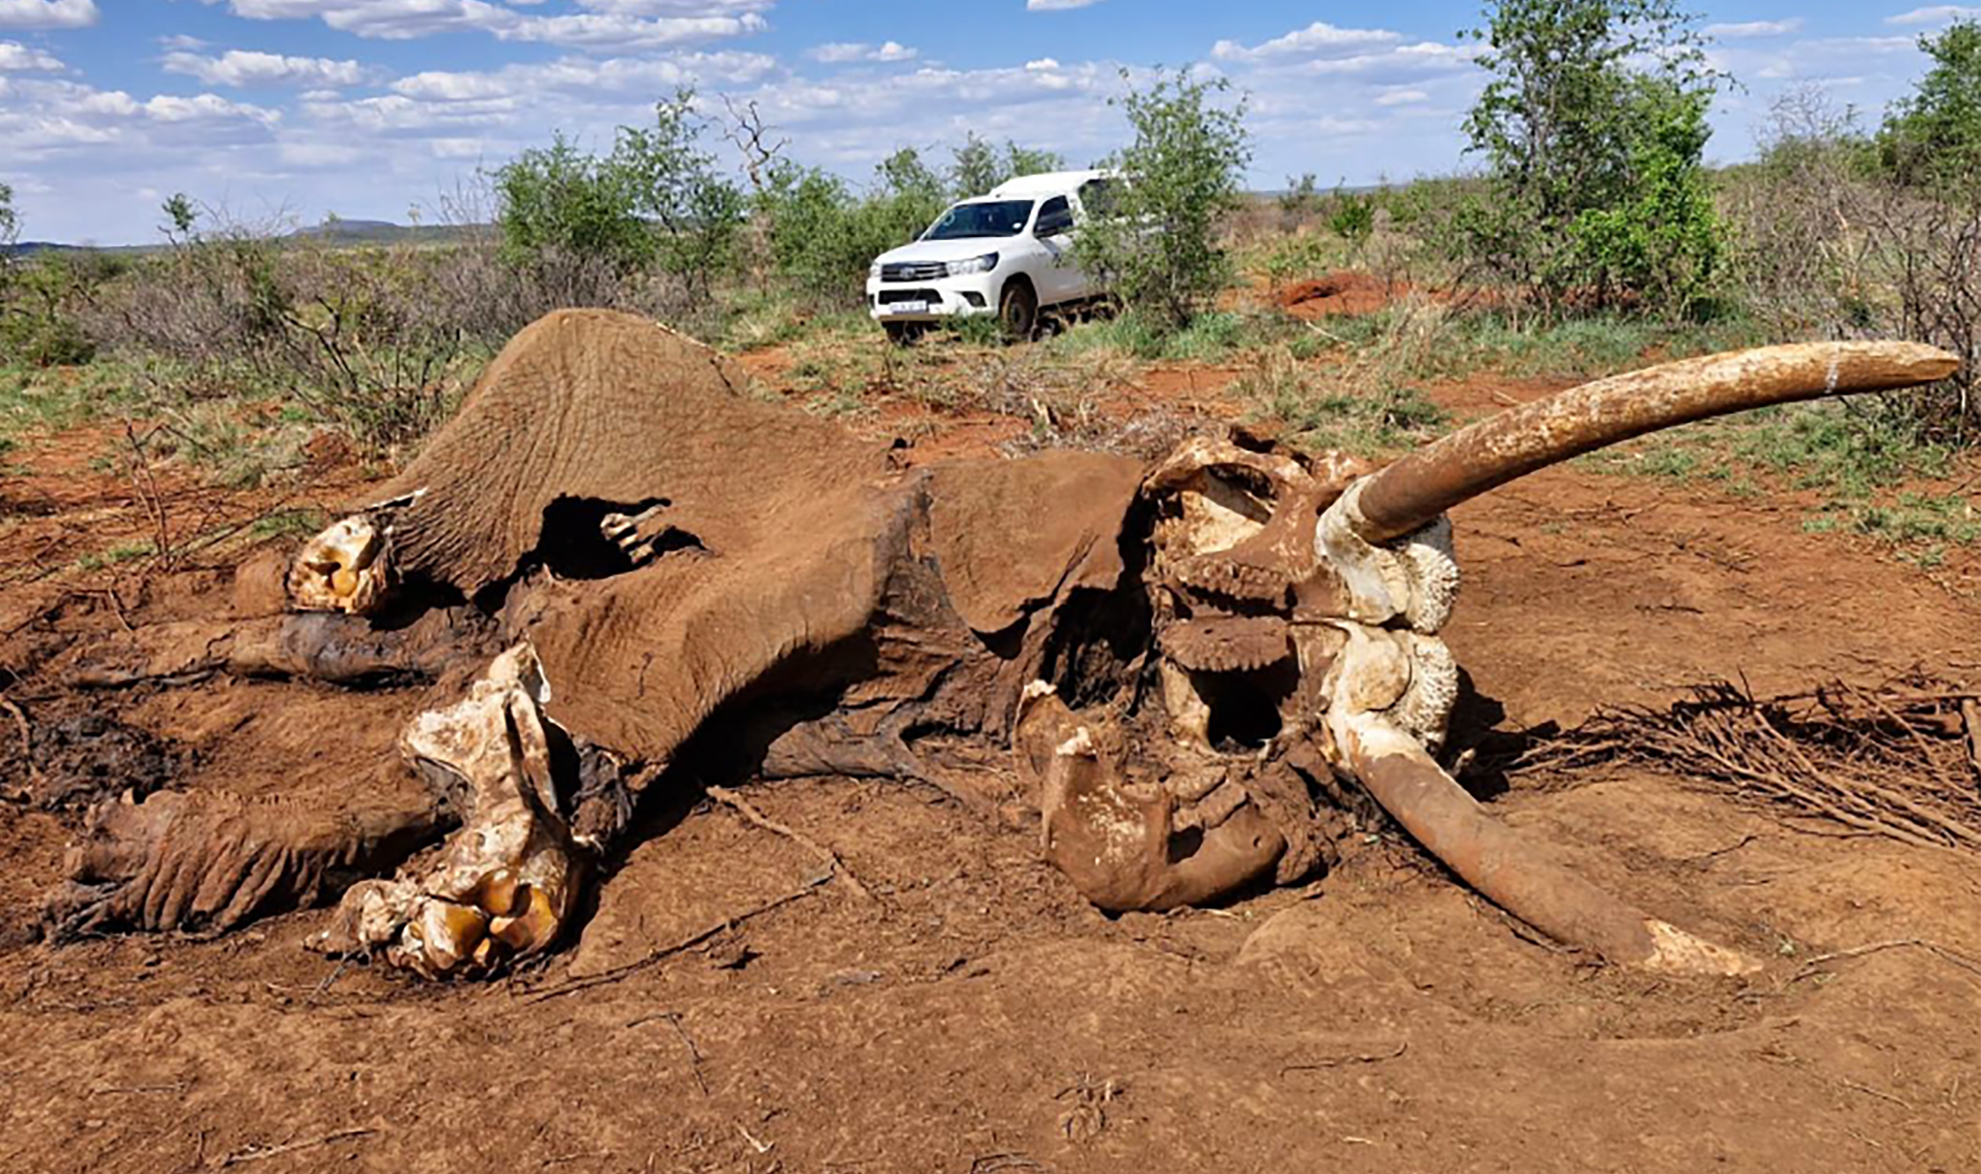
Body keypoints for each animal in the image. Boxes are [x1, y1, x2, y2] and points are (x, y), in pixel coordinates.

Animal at [38, 309, 1957, 980]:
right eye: (1238, 494)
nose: (1363, 635)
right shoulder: (833, 570)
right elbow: (566, 711)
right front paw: (412, 896)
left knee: (356, 632)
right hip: (528, 404)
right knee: (393, 569)